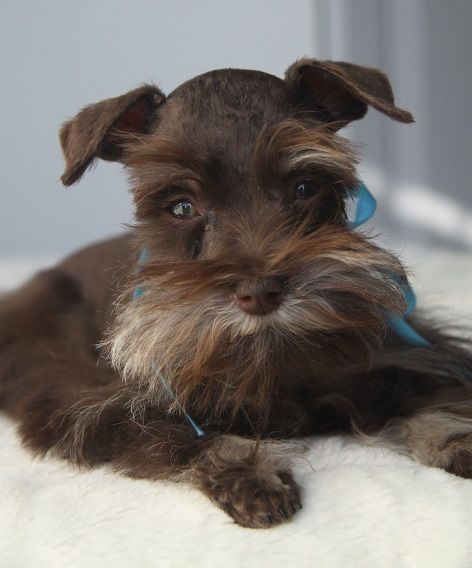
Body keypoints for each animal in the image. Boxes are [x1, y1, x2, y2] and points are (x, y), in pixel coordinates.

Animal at [0, 58, 472, 528]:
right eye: (181, 207)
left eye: (304, 186)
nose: (260, 292)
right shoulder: (100, 405)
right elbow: (186, 437)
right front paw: (253, 477)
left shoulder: (406, 355)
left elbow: (426, 396)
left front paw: (453, 435)